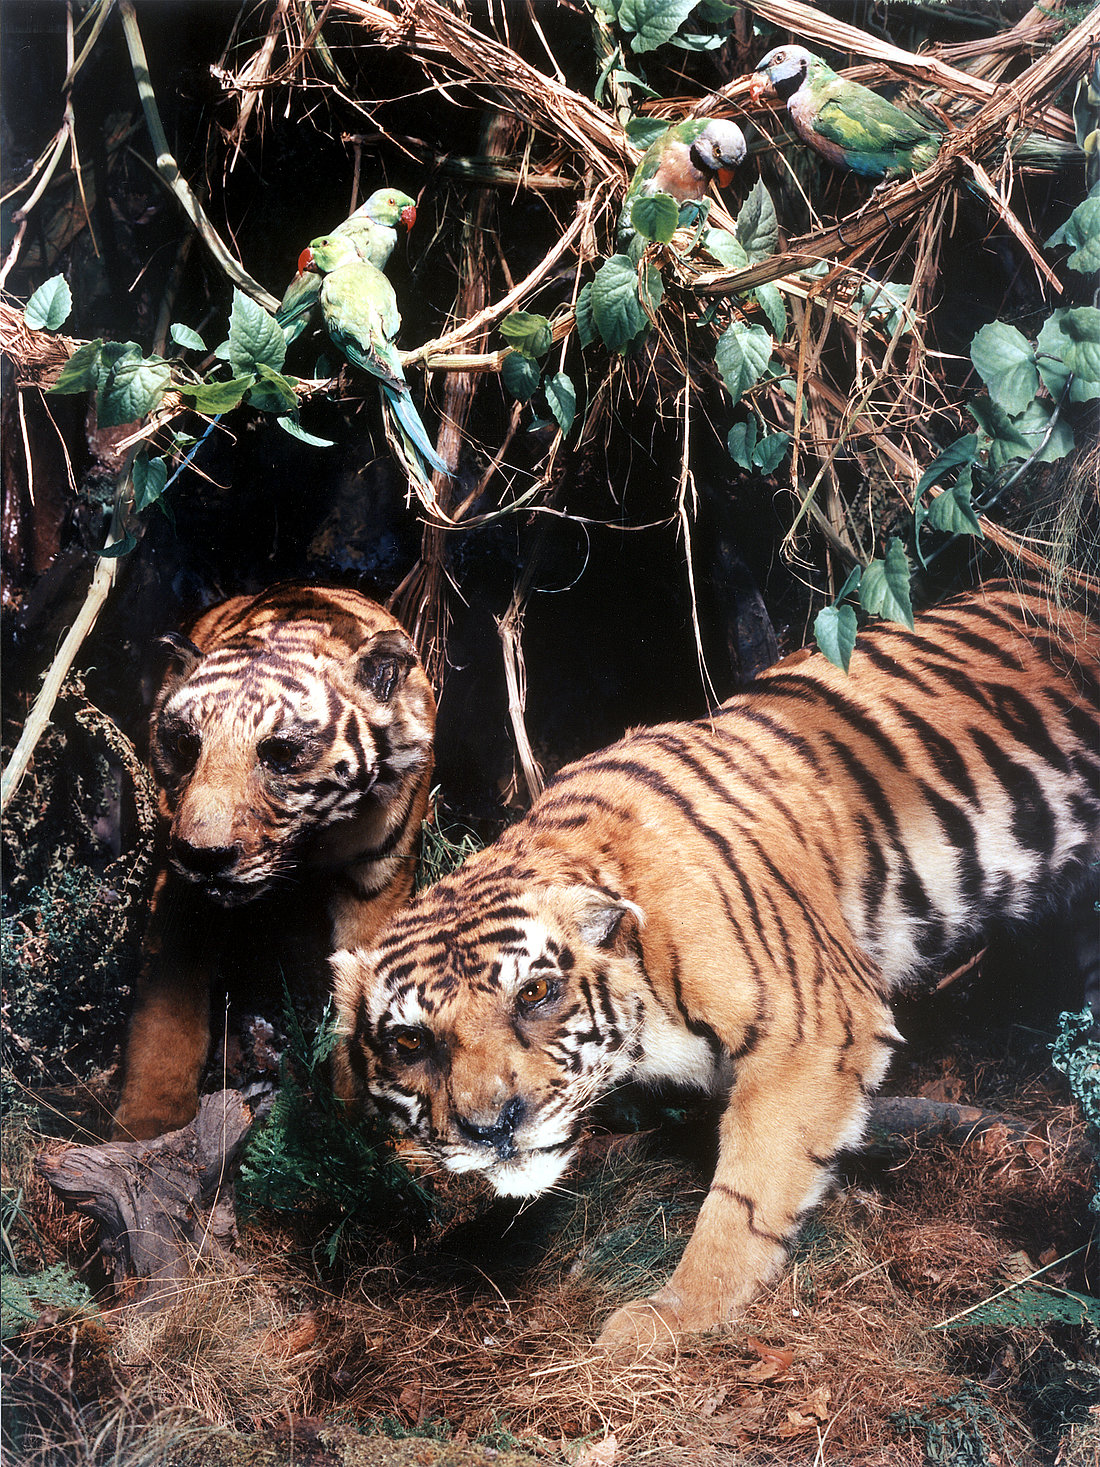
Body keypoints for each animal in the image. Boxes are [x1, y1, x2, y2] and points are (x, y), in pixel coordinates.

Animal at [114, 577, 437, 1138]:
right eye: (186, 745)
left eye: (281, 754)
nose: (203, 855)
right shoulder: (182, 892)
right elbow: (167, 1013)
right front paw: (147, 1125)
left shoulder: (376, 878)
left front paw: (358, 1127)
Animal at [334, 580, 1100, 1349]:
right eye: (412, 1043)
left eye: (535, 995)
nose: (492, 1128)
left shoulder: (816, 1028)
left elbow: (746, 1192)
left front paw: (676, 1313)